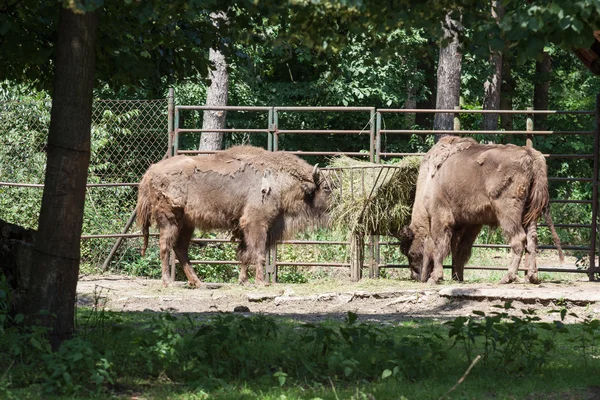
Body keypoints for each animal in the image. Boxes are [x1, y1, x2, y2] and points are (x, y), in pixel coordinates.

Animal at [136, 145, 330, 286]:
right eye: (326, 188)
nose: (333, 206)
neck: (279, 179)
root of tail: (150, 172)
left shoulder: (245, 228)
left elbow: (245, 254)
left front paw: (243, 281)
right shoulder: (256, 223)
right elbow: (258, 252)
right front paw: (261, 282)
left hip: (187, 224)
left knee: (180, 249)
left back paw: (198, 283)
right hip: (170, 220)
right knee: (165, 246)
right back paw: (168, 282)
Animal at [400, 137, 564, 284]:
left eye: (410, 252)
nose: (416, 277)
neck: (429, 181)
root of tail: (530, 155)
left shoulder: (440, 216)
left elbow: (440, 246)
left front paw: (435, 278)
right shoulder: (469, 224)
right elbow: (459, 250)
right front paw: (458, 277)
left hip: (508, 212)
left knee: (518, 239)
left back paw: (507, 278)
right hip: (529, 213)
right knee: (532, 239)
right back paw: (532, 277)